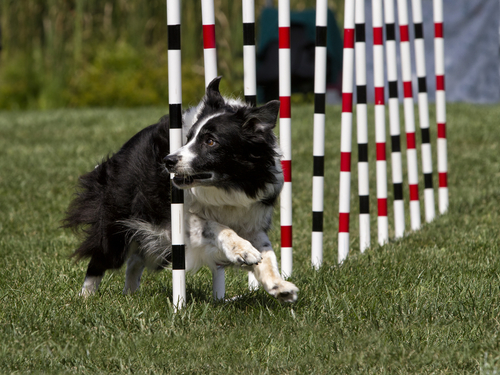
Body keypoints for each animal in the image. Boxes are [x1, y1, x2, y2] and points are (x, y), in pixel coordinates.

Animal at [62, 78, 296, 304]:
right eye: (189, 138)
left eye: (210, 141)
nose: (168, 161)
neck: (225, 186)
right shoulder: (173, 219)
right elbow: (215, 226)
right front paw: (243, 250)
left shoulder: (251, 216)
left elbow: (267, 252)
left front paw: (279, 285)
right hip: (118, 224)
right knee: (101, 258)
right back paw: (86, 298)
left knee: (136, 258)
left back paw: (130, 294)